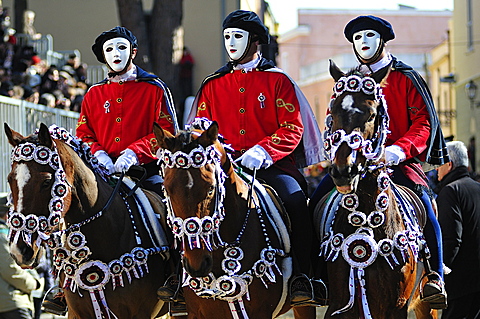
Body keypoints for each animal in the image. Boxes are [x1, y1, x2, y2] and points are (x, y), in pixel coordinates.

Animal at [153, 122, 316, 319]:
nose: (197, 266)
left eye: (211, 188)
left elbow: (291, 127)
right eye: (167, 190)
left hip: (304, 306)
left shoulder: (261, 312)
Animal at [316, 60, 436, 319]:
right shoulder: (341, 305)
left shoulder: (397, 306)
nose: (344, 171)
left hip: (426, 304)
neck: (368, 220)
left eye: (372, 114)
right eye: (333, 112)